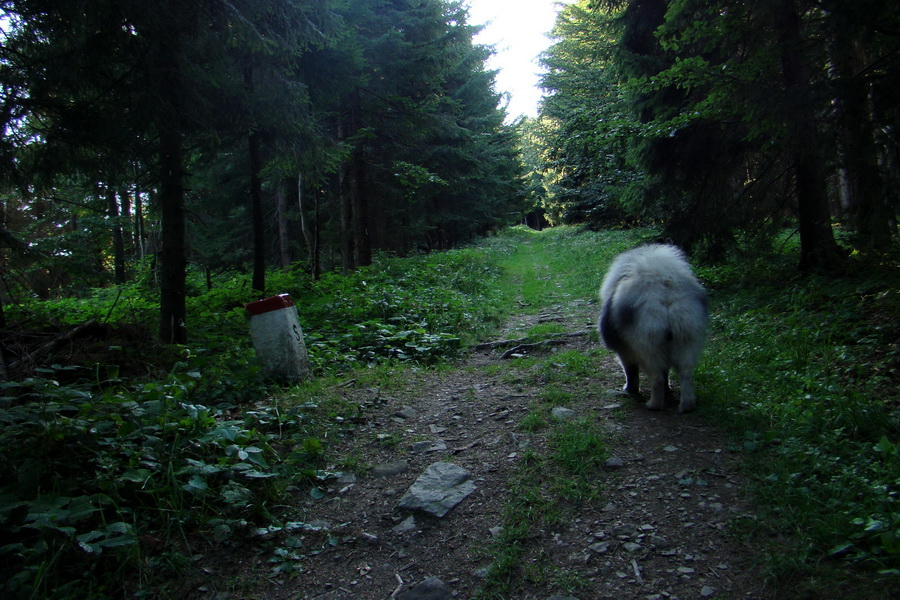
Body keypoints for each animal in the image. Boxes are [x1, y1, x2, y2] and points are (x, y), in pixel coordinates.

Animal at [600, 245, 708, 412]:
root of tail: (664, 294)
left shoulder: (624, 352)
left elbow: (631, 372)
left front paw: (630, 389)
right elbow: (666, 372)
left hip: (647, 346)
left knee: (657, 378)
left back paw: (653, 405)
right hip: (686, 341)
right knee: (685, 376)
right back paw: (686, 406)